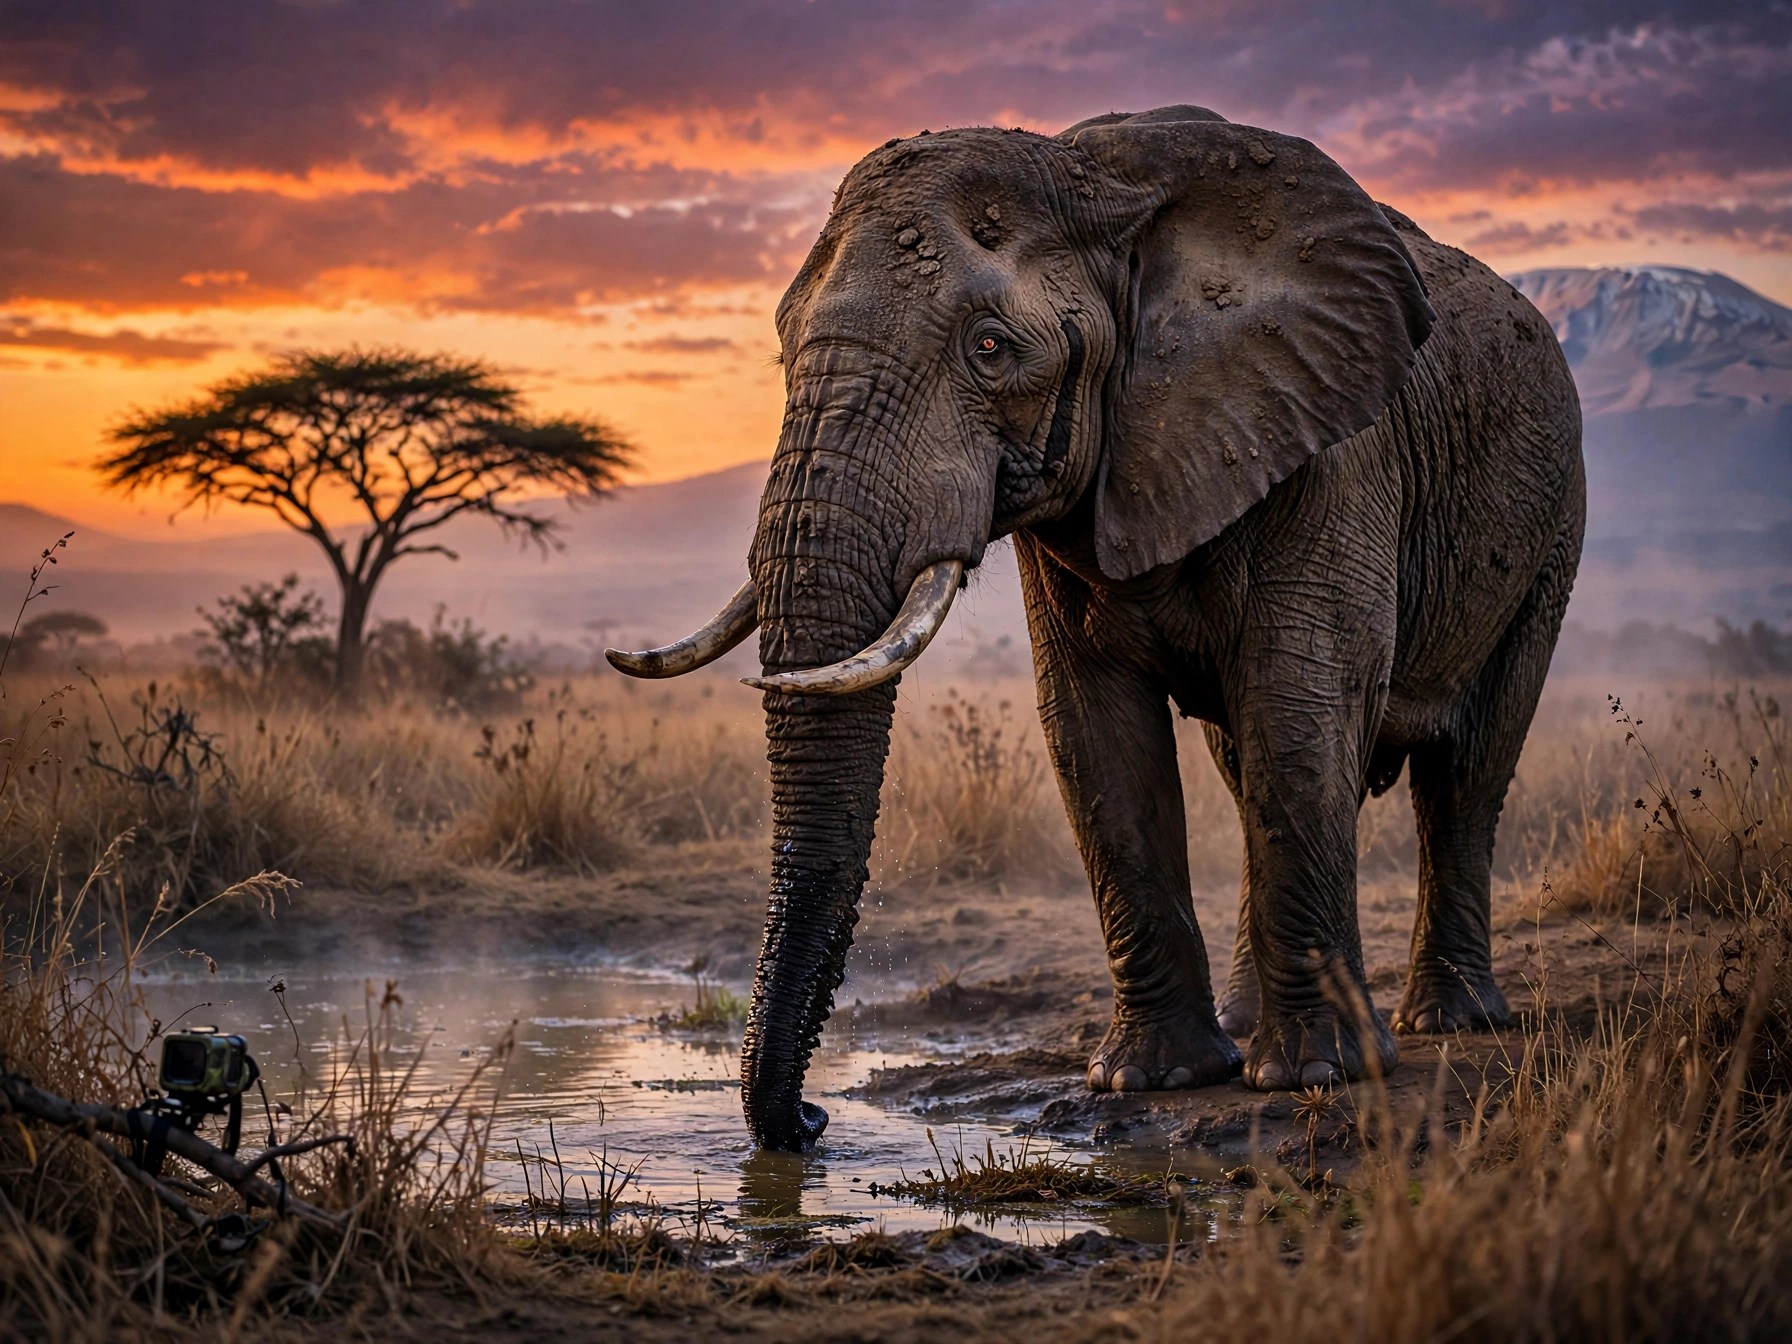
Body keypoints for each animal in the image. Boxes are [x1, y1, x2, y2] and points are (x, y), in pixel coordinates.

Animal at [608, 104, 1584, 1153]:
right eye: (784, 351)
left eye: (991, 349)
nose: (813, 1121)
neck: (1095, 177)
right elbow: (1096, 739)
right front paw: (1154, 1079)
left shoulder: (1332, 441)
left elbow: (1302, 708)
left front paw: (1318, 1076)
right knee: (1246, 769)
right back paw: (1250, 1022)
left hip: (1552, 529)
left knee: (1468, 770)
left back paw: (1449, 1020)